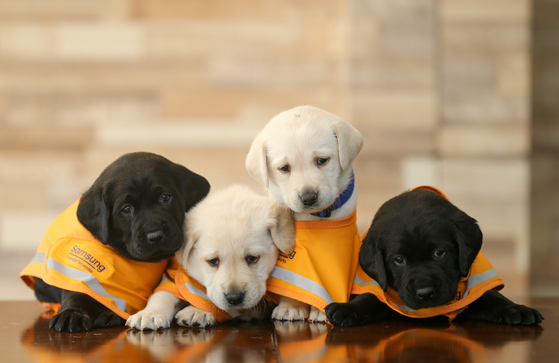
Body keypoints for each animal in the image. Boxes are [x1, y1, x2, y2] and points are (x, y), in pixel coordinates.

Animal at [21, 152, 210, 334]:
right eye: (126, 209)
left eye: (165, 197)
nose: (155, 235)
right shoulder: (76, 267)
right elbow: (77, 292)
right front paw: (72, 313)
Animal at [126, 186, 294, 332]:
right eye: (213, 261)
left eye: (252, 258)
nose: (234, 298)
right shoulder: (174, 274)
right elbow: (163, 294)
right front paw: (149, 314)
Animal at [245, 105, 364, 324]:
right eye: (284, 168)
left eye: (322, 160)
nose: (308, 197)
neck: (314, 216)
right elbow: (290, 284)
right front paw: (290, 308)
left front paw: (321, 311)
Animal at [326, 189, 544, 328]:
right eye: (399, 260)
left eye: (439, 253)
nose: (425, 293)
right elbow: (370, 297)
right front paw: (346, 309)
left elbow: (489, 296)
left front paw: (517, 309)